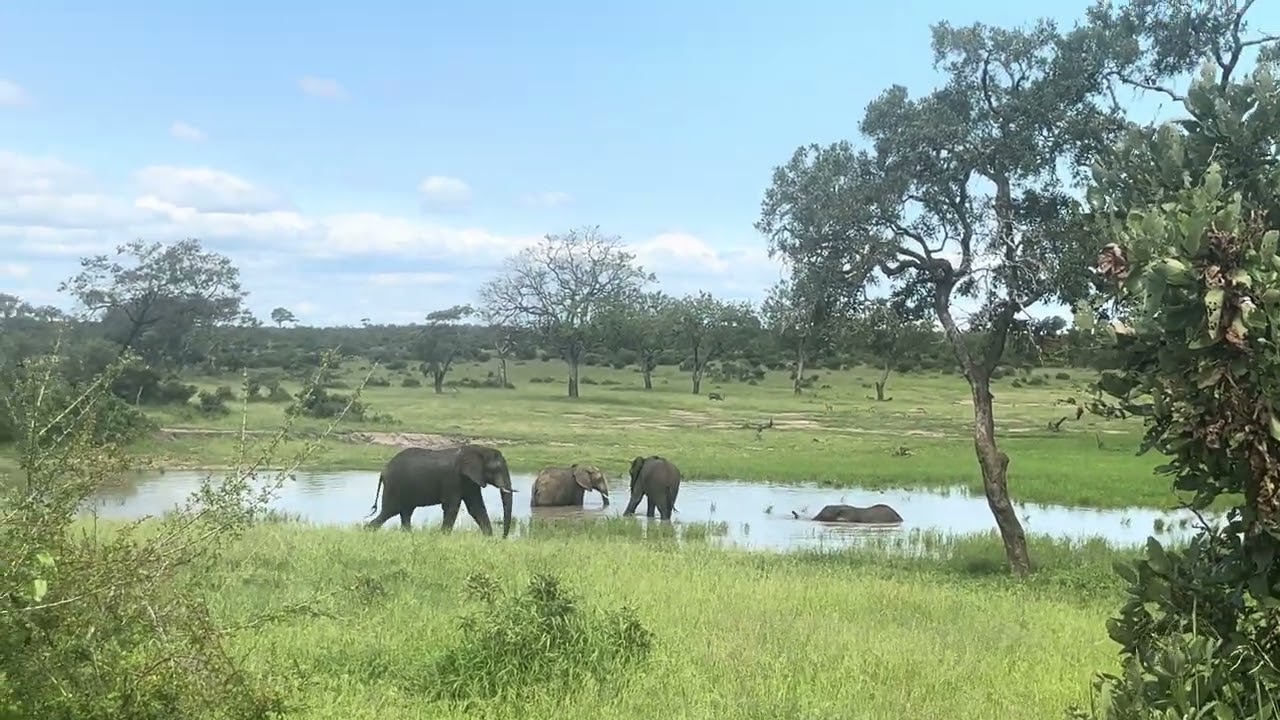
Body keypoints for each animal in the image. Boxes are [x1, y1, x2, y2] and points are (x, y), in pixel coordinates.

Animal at [365, 444, 514, 537]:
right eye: (496, 469)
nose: (503, 538)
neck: (479, 449)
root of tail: (383, 471)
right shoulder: (452, 478)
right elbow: (452, 507)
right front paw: (443, 536)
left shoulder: (470, 481)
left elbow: (476, 508)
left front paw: (489, 539)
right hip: (394, 486)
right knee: (390, 511)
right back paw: (368, 530)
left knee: (405, 512)